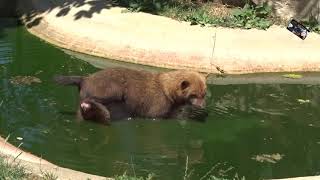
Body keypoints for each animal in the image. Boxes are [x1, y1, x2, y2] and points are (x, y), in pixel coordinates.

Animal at [55, 67, 208, 124]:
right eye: (194, 94)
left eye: (204, 93)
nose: (202, 106)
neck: (169, 91)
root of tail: (85, 79)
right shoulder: (157, 101)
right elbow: (157, 115)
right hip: (108, 85)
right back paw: (102, 112)